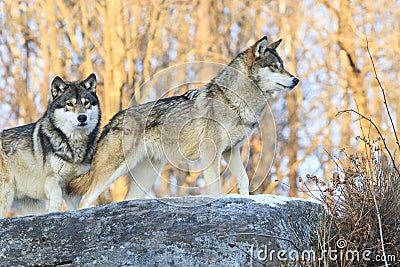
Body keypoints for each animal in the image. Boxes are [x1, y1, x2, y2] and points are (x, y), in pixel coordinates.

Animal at [0, 74, 100, 218]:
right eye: (69, 104)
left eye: (86, 103)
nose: (82, 118)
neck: (74, 145)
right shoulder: (52, 180)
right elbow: (57, 194)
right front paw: (54, 211)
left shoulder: (72, 189)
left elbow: (80, 205)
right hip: (6, 196)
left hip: (33, 205)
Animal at [69, 36, 300, 209]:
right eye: (274, 66)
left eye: (283, 66)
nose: (296, 80)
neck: (232, 99)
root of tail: (113, 118)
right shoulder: (211, 152)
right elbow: (215, 187)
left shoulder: (230, 151)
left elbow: (243, 180)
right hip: (113, 170)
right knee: (85, 200)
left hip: (146, 177)